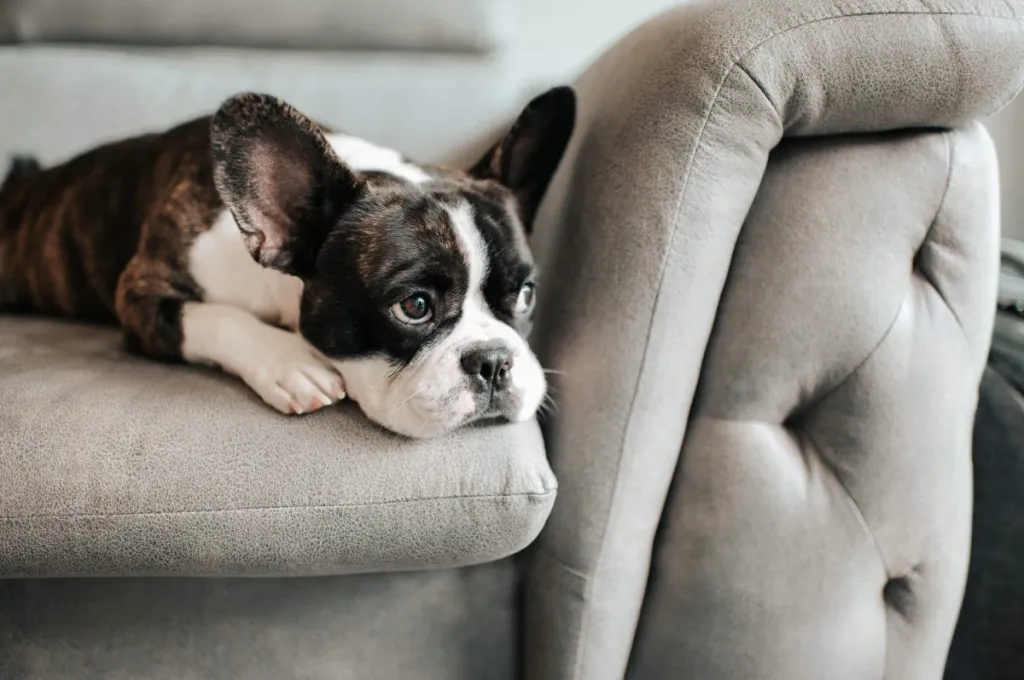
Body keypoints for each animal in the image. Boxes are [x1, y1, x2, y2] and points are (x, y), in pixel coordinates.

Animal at [0, 86, 577, 436]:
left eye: (526, 294)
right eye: (414, 307)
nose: (494, 360)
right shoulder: (141, 292)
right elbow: (215, 316)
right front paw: (289, 363)